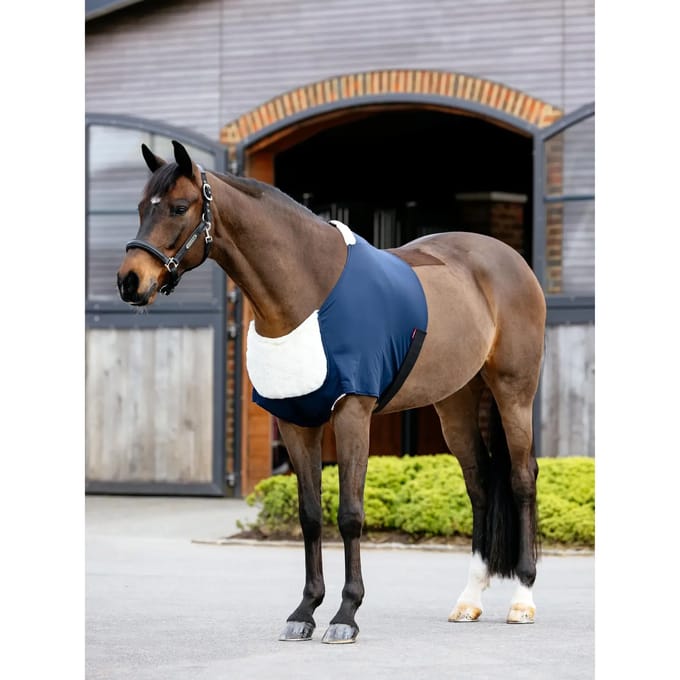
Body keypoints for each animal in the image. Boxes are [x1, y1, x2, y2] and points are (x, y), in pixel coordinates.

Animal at [117, 140, 546, 644]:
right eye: (141, 208)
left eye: (179, 208)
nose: (129, 281)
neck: (309, 288)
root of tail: (509, 259)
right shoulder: (294, 421)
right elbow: (310, 516)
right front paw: (304, 611)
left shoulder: (352, 413)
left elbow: (350, 514)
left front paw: (346, 614)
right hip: (454, 401)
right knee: (478, 483)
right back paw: (469, 599)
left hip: (514, 391)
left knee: (521, 478)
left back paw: (523, 599)